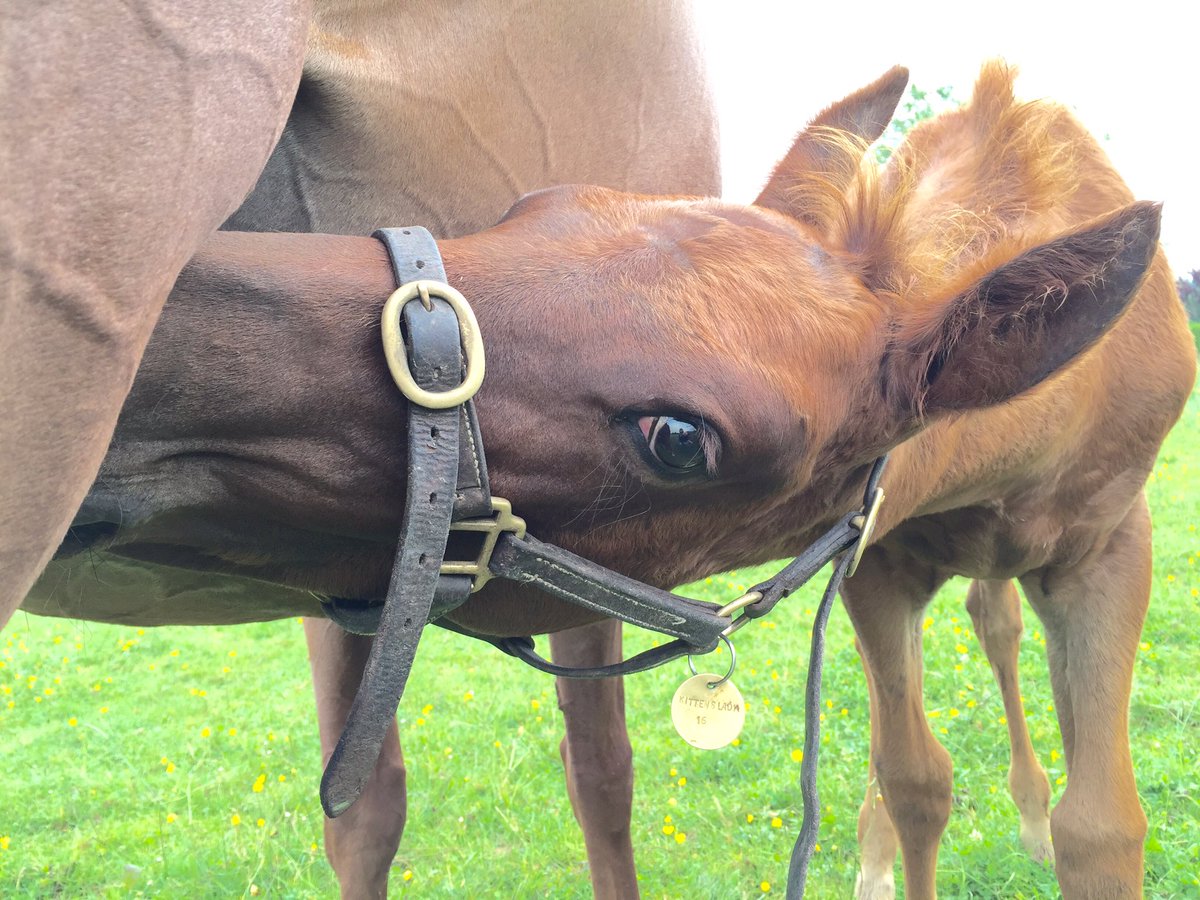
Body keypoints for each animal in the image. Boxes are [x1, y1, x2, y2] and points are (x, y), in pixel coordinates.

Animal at [29, 62, 1195, 896]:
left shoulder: (1109, 543)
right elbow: (916, 779)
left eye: (678, 438)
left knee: (997, 624)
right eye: (532, 205)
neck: (1024, 449)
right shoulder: (878, 563)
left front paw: (1052, 823)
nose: (134, 361)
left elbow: (1104, 826)